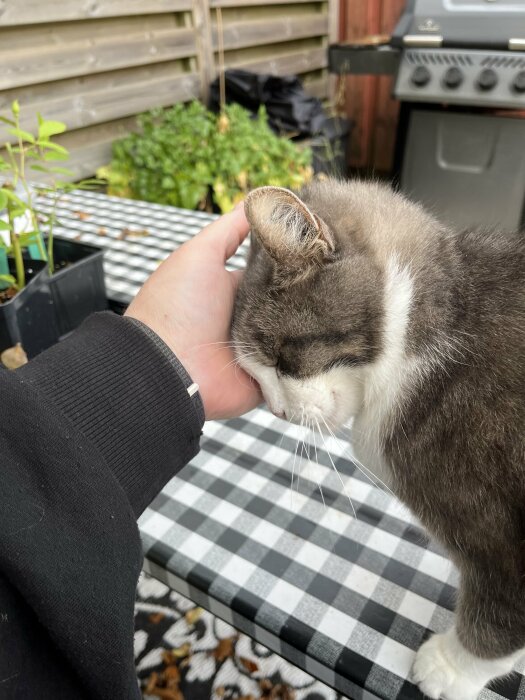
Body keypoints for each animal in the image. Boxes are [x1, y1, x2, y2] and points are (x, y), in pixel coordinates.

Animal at [233, 180, 524, 700]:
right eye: (253, 374)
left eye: (283, 356)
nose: (278, 411)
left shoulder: (502, 541)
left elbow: (497, 617)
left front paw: (450, 668)